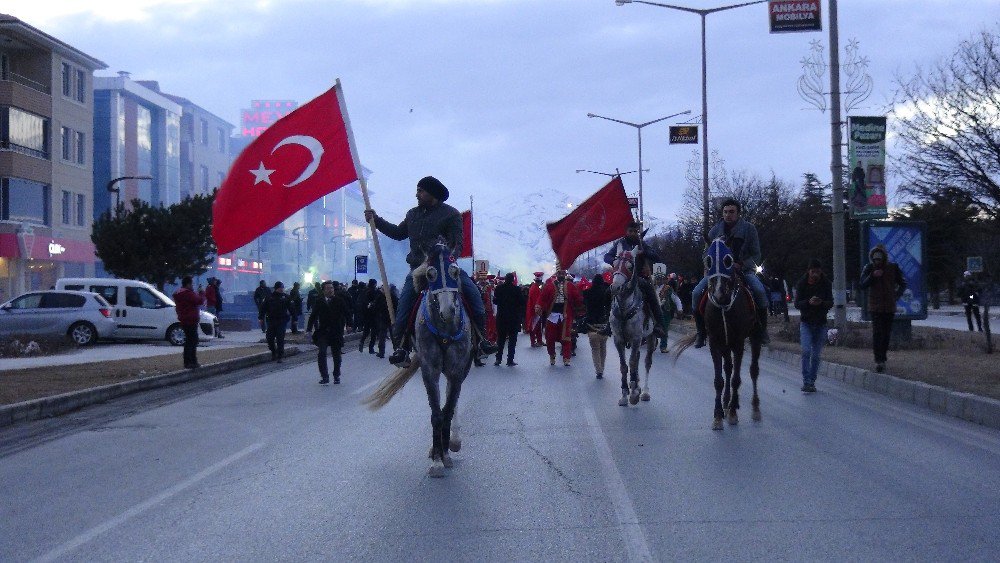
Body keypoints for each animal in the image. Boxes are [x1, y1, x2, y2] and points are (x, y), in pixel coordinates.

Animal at [364, 240, 472, 478]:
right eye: (430, 274)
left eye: (455, 271)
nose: (448, 311)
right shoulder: (429, 369)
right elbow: (436, 414)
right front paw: (437, 460)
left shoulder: (456, 369)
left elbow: (447, 410)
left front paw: (445, 454)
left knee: (453, 399)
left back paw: (454, 441)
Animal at [608, 250, 656, 406]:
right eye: (614, 264)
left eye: (630, 267)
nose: (615, 287)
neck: (624, 309)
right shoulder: (618, 340)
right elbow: (624, 365)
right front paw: (625, 394)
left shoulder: (636, 338)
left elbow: (633, 362)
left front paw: (634, 393)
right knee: (638, 359)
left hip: (650, 337)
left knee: (647, 362)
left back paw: (644, 392)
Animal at [676, 239, 760, 432]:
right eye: (708, 260)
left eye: (728, 260)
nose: (719, 293)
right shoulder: (715, 342)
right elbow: (719, 380)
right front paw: (718, 415)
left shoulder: (738, 343)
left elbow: (736, 379)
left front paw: (732, 414)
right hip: (724, 345)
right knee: (728, 368)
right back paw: (728, 403)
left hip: (754, 338)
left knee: (753, 370)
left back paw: (753, 408)